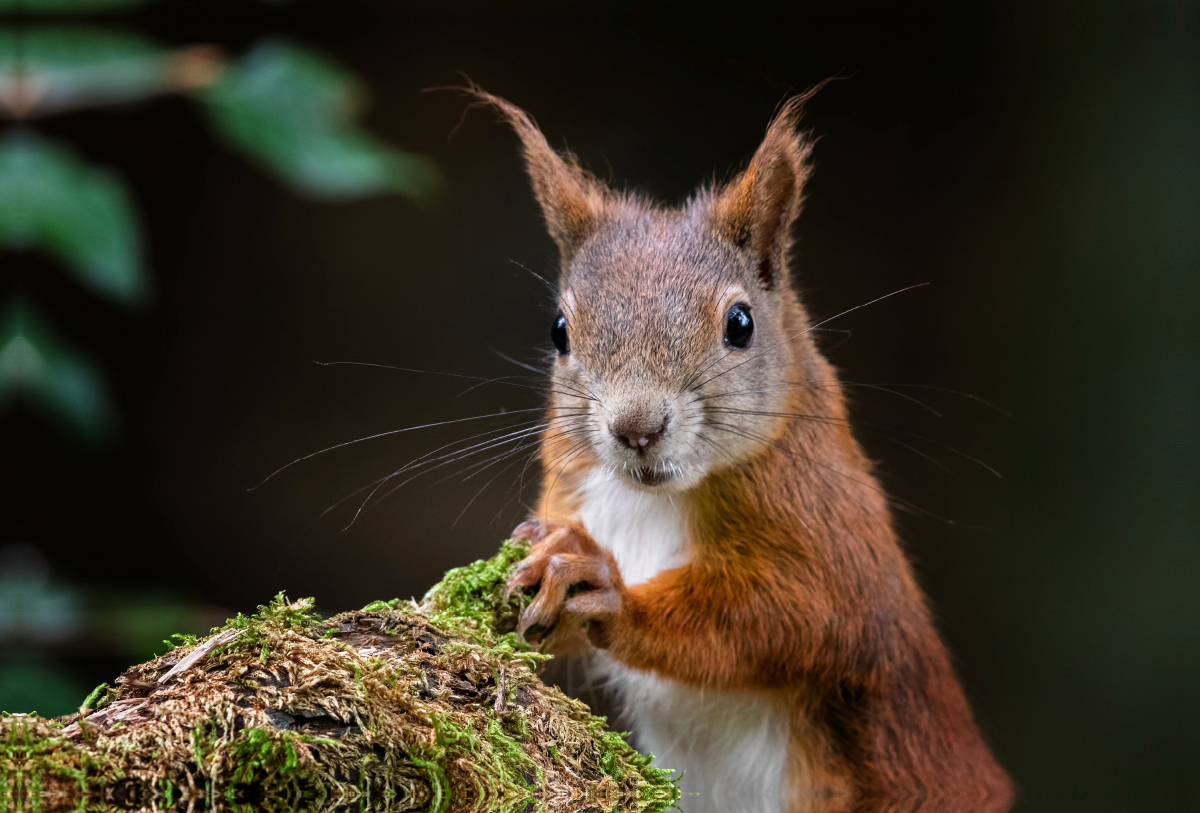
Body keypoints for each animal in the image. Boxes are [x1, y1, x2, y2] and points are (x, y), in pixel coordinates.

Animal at [468, 85, 1012, 810]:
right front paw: (542, 567)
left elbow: (793, 614)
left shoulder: (831, 531)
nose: (636, 428)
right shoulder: (570, 484)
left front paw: (607, 588)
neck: (651, 500)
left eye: (740, 323)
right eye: (559, 329)